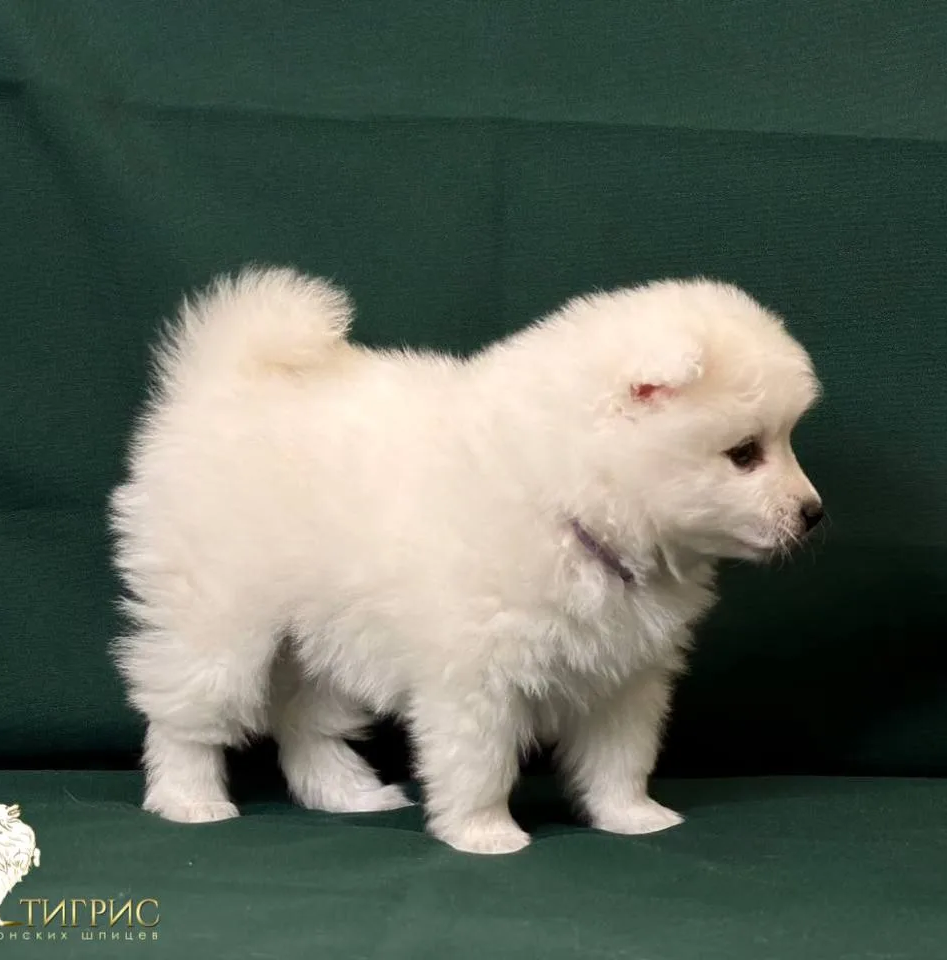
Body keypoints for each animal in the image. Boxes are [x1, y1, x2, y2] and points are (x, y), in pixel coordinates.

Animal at [110, 268, 822, 854]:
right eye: (744, 453)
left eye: (785, 440)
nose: (813, 512)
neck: (570, 497)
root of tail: (226, 380)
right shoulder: (476, 672)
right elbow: (480, 760)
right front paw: (486, 834)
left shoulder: (626, 670)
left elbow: (620, 755)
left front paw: (633, 816)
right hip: (218, 620)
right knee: (185, 716)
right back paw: (190, 800)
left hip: (328, 632)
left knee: (305, 717)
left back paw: (347, 794)